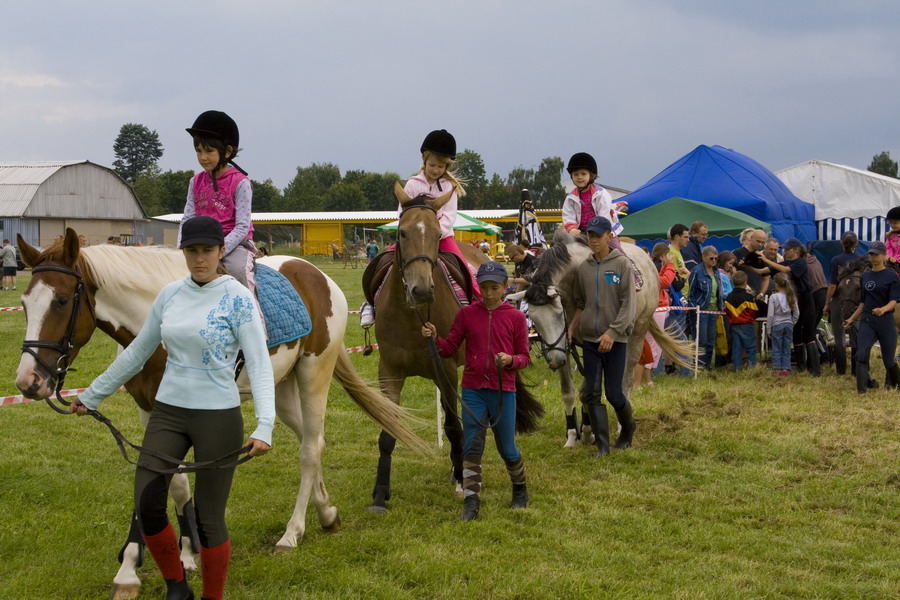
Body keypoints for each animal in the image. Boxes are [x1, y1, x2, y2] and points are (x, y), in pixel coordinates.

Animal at [11, 229, 426, 600]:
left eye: (62, 300)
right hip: (279, 390)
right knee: (314, 441)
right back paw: (326, 513)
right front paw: (148, 565)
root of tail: (316, 274)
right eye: (26, 302)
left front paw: (180, 557)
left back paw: (292, 533)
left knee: (310, 449)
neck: (159, 327)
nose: (29, 382)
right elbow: (165, 481)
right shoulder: (150, 411)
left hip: (313, 375)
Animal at [366, 182, 540, 510]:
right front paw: (380, 492)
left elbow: (454, 427)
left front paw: (462, 479)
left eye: (437, 234)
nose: (421, 290)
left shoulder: (445, 370)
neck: (411, 317)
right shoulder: (389, 372)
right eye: (402, 233)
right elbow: (388, 431)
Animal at [512, 230, 696, 446]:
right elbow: (569, 392)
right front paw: (573, 435)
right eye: (532, 317)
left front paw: (588, 432)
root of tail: (648, 261)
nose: (554, 360)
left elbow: (587, 391)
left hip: (636, 334)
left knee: (626, 380)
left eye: (558, 313)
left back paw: (622, 426)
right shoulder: (565, 345)